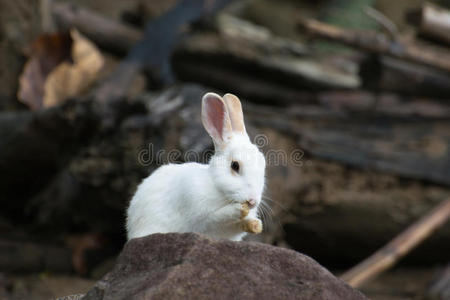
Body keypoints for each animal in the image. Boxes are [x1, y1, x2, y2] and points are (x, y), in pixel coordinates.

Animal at [126, 92, 266, 240]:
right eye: (235, 166)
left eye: (263, 164)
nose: (252, 201)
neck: (219, 190)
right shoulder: (201, 215)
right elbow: (218, 216)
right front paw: (239, 210)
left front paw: (256, 224)